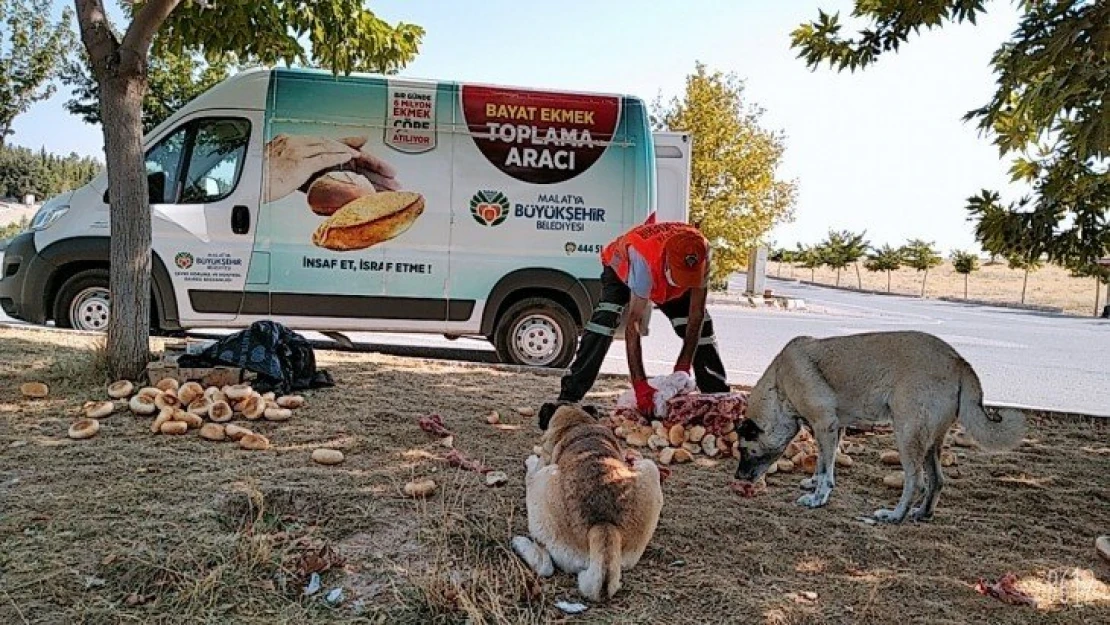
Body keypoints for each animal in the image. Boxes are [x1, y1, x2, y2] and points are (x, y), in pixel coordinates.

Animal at [508, 404, 657, 603]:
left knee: (545, 565)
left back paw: (520, 543)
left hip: (544, 479)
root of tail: (603, 526)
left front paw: (531, 460)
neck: (578, 423)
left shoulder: (542, 463)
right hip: (651, 468)